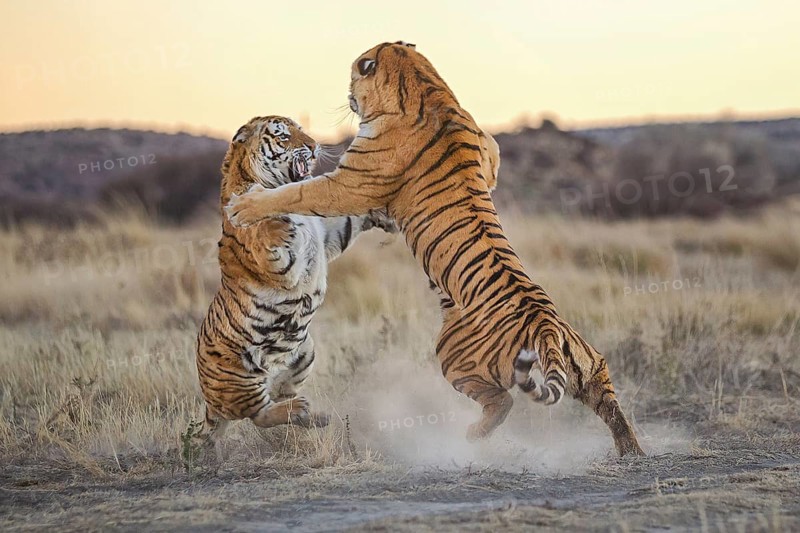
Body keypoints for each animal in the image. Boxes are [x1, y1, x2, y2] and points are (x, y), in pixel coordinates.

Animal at [194, 115, 395, 445]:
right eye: (284, 136)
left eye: (301, 130)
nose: (314, 147)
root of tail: (210, 401)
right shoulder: (278, 264)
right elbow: (264, 229)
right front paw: (267, 217)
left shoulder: (328, 234)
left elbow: (350, 217)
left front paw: (383, 213)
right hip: (241, 377)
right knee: (259, 415)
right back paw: (302, 410)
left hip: (304, 352)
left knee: (280, 394)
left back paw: (314, 415)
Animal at [225, 44, 644, 456]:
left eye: (354, 72)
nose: (347, 94)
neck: (427, 86)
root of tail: (544, 326)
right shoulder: (489, 149)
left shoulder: (349, 181)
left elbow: (298, 193)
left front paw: (245, 206)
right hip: (590, 367)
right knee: (609, 403)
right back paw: (631, 451)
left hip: (452, 353)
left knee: (503, 401)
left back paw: (473, 435)